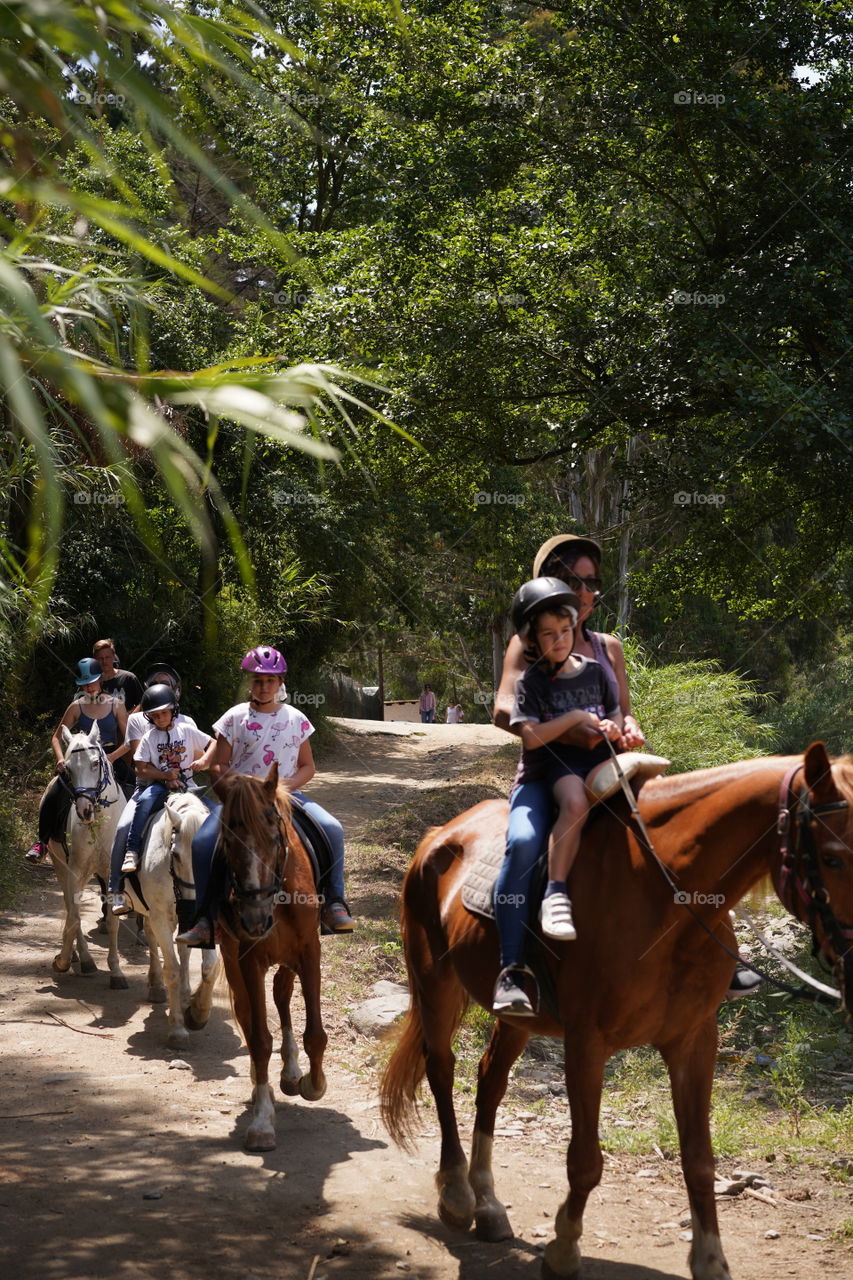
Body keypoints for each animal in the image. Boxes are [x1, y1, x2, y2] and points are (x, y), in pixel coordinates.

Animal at [47, 727, 126, 983]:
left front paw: (116, 971)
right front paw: (62, 961)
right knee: (71, 908)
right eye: (68, 768)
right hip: (61, 865)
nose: (84, 810)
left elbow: (112, 921)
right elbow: (74, 917)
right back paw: (82, 958)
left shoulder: (112, 873)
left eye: (94, 763)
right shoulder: (75, 871)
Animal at [120, 788, 219, 1049]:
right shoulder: (161, 918)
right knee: (150, 938)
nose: (193, 908)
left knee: (183, 949)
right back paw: (155, 987)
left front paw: (198, 1013)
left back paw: (184, 993)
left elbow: (210, 966)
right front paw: (178, 1030)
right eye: (175, 854)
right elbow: (172, 969)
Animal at [213, 762, 326, 1157]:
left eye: (274, 837)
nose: (254, 918)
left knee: (281, 993)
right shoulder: (248, 957)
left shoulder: (309, 951)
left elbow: (315, 1034)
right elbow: (259, 1038)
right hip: (233, 957)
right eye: (227, 841)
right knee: (249, 1013)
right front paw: (262, 1120)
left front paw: (312, 1083)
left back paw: (291, 1073)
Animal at [379, 742, 850, 1280]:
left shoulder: (694, 1040)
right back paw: (458, 1194)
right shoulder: (587, 1042)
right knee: (440, 1069)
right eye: (833, 857)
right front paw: (564, 1249)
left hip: (517, 1016)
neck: (663, 898)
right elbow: (585, 1160)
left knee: (489, 1081)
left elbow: (699, 1159)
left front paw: (711, 1259)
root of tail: (439, 836)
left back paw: (489, 1206)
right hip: (433, 982)